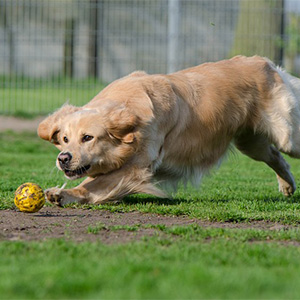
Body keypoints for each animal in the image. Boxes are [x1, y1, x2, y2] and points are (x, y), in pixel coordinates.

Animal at [38, 55, 300, 206]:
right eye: (65, 139)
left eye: (88, 137)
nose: (63, 158)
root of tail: (263, 61)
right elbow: (91, 184)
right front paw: (61, 194)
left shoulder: (135, 168)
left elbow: (91, 185)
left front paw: (66, 193)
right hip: (250, 142)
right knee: (276, 156)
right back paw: (287, 186)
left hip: (287, 137)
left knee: (284, 149)